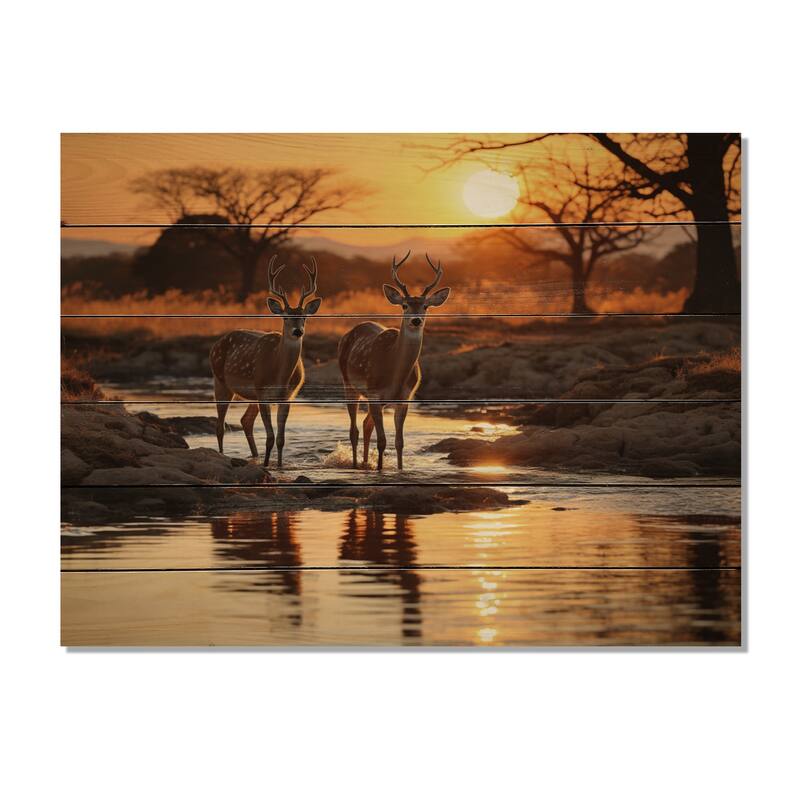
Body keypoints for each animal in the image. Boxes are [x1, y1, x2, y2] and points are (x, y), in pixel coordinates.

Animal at [209, 255, 321, 468]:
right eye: (285, 317)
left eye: (304, 317)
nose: (298, 331)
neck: (279, 375)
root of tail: (215, 344)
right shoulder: (263, 393)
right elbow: (269, 437)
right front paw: (268, 465)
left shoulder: (287, 397)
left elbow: (280, 438)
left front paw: (279, 465)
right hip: (221, 381)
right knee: (220, 425)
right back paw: (222, 455)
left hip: (251, 394)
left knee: (245, 421)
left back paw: (254, 456)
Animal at [337, 251, 451, 471]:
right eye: (405, 305)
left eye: (425, 306)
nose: (416, 320)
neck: (394, 374)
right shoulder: (374, 394)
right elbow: (382, 441)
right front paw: (381, 469)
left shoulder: (404, 398)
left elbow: (399, 442)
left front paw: (399, 469)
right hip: (348, 383)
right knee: (354, 430)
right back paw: (355, 465)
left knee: (366, 425)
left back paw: (365, 463)